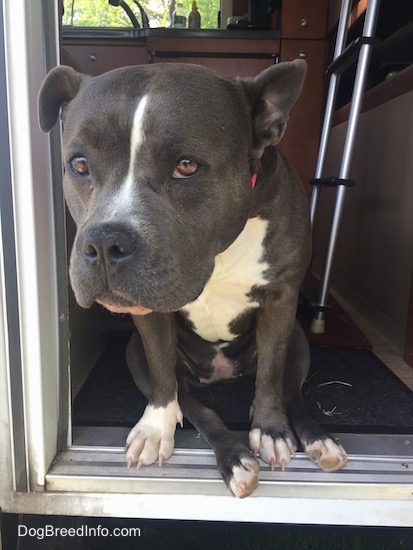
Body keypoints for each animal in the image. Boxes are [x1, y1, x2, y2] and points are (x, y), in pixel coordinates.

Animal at [39, 61, 348, 500]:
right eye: (79, 164)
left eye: (186, 166)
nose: (104, 242)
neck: (219, 250)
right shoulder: (149, 320)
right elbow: (163, 375)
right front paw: (155, 430)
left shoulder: (281, 297)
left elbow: (271, 375)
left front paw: (271, 430)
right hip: (134, 356)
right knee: (199, 409)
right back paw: (235, 460)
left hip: (300, 341)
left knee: (290, 390)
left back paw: (318, 441)